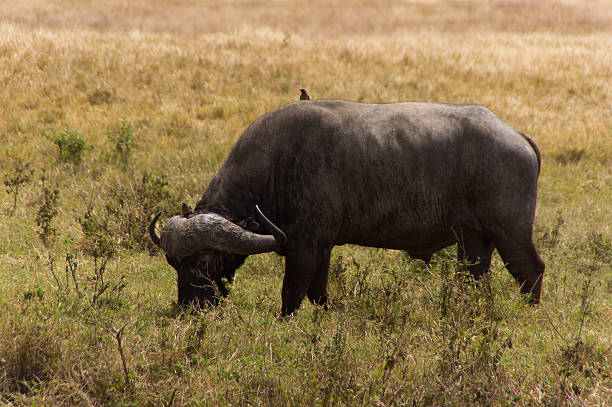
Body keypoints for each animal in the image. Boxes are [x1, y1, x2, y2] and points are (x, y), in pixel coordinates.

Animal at [149, 100, 544, 318]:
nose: (188, 307)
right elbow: (318, 295)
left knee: (530, 271)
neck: (279, 164)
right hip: (472, 239)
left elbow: (291, 295)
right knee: (475, 279)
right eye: (174, 264)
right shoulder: (321, 248)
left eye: (203, 263)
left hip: (511, 233)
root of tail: (515, 135)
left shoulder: (304, 247)